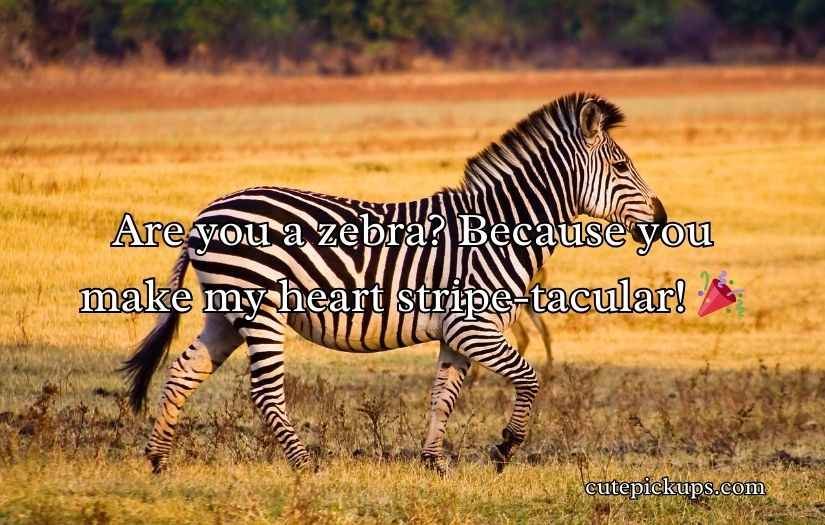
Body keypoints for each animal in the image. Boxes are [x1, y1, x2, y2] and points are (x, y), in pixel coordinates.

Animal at [121, 92, 667, 475]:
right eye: (622, 166)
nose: (662, 220)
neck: (496, 229)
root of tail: (203, 214)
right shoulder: (475, 326)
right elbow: (529, 379)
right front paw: (504, 449)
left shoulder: (457, 332)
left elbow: (443, 395)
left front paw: (435, 463)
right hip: (259, 308)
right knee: (265, 391)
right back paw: (304, 466)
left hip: (225, 311)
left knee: (184, 371)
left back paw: (157, 460)